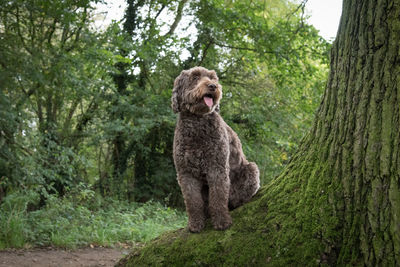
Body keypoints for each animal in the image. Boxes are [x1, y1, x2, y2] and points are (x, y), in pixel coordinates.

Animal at [171, 66, 260, 232]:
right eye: (195, 77)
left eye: (213, 78)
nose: (213, 86)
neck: (197, 122)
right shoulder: (186, 173)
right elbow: (192, 201)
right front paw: (195, 224)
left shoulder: (217, 167)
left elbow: (218, 197)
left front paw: (222, 222)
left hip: (251, 168)